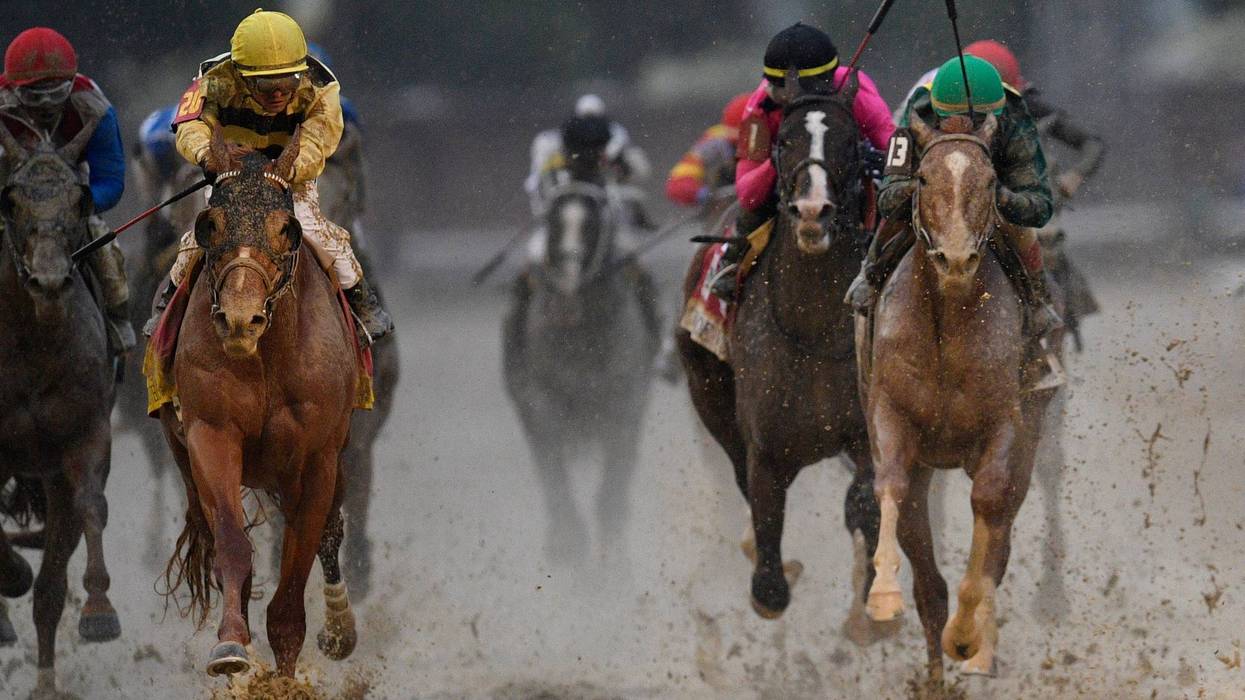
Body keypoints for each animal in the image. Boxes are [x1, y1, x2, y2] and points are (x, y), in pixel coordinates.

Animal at [158, 127, 360, 677]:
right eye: (209, 224)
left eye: (287, 229)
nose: (239, 321)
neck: (267, 356)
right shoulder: (210, 432)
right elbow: (232, 542)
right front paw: (231, 647)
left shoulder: (316, 459)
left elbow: (293, 588)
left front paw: (288, 673)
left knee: (330, 532)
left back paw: (340, 629)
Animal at [503, 180, 658, 562]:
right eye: (553, 223)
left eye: (593, 227)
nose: (566, 300)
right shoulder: (540, 398)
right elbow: (553, 466)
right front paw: (568, 540)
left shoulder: (625, 398)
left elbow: (616, 471)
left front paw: (611, 546)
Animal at [676, 72, 890, 639]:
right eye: (785, 140)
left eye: (847, 141)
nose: (813, 210)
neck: (813, 326)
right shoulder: (766, 447)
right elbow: (766, 517)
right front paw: (770, 582)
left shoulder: (865, 428)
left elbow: (865, 502)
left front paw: (870, 606)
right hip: (708, 394)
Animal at [858, 112, 1062, 680]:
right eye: (924, 178)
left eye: (990, 182)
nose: (955, 259)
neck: (948, 317)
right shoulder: (890, 412)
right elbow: (891, 483)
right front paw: (883, 595)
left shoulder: (1006, 425)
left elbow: (990, 509)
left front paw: (970, 636)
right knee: (928, 577)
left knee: (1002, 531)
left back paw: (979, 646)